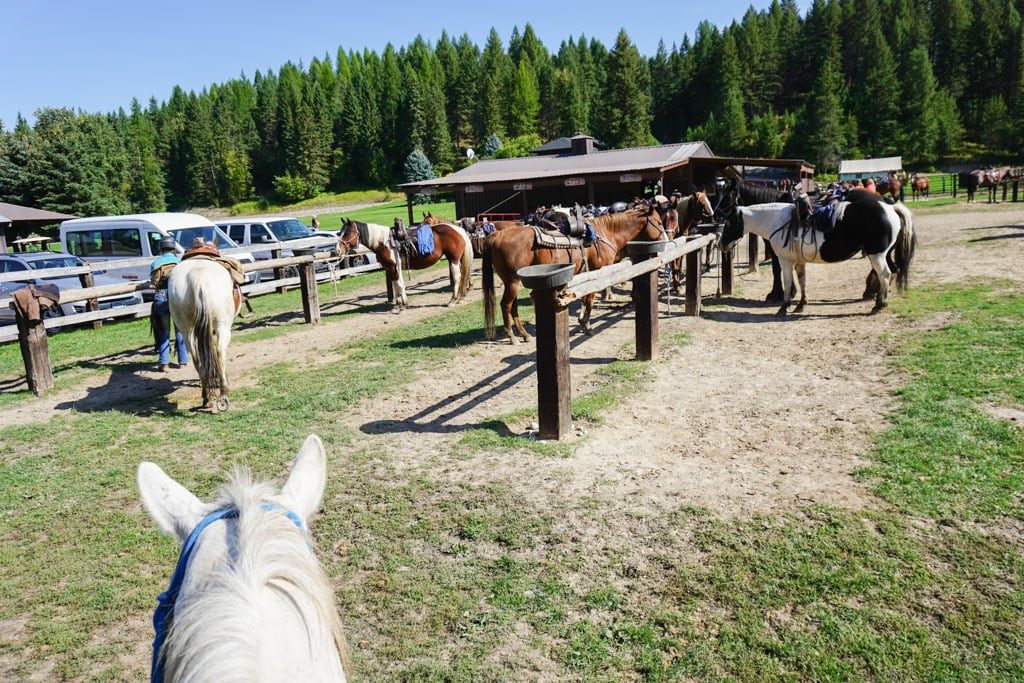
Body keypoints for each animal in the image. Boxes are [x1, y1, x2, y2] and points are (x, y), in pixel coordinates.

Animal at [167, 252, 241, 409]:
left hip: (186, 330)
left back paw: (207, 396)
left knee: (197, 358)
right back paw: (223, 392)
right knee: (219, 352)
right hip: (222, 326)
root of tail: (197, 276)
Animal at [339, 219, 475, 309]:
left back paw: (452, 300)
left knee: (457, 278)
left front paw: (401, 306)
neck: (383, 242)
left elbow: (399, 285)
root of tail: (458, 229)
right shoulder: (392, 268)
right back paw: (460, 298)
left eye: (347, 233)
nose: (338, 250)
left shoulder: (393, 267)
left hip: (454, 260)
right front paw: (400, 304)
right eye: (340, 232)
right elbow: (397, 285)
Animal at [483, 200, 675, 344]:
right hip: (513, 282)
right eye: (659, 222)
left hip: (511, 282)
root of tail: (496, 236)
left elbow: (585, 298)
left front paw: (583, 321)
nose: (667, 241)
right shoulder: (596, 271)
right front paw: (586, 325)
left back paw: (524, 334)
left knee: (512, 306)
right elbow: (590, 298)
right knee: (506, 305)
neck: (606, 233)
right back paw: (512, 337)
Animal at [716, 196, 917, 317]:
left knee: (885, 274)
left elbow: (788, 282)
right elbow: (802, 281)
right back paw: (879, 300)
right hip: (883, 254)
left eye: (729, 222)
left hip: (877, 255)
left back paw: (879, 304)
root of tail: (891, 208)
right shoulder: (799, 261)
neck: (778, 220)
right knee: (892, 272)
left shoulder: (785, 260)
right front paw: (801, 304)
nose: (721, 244)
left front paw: (784, 307)